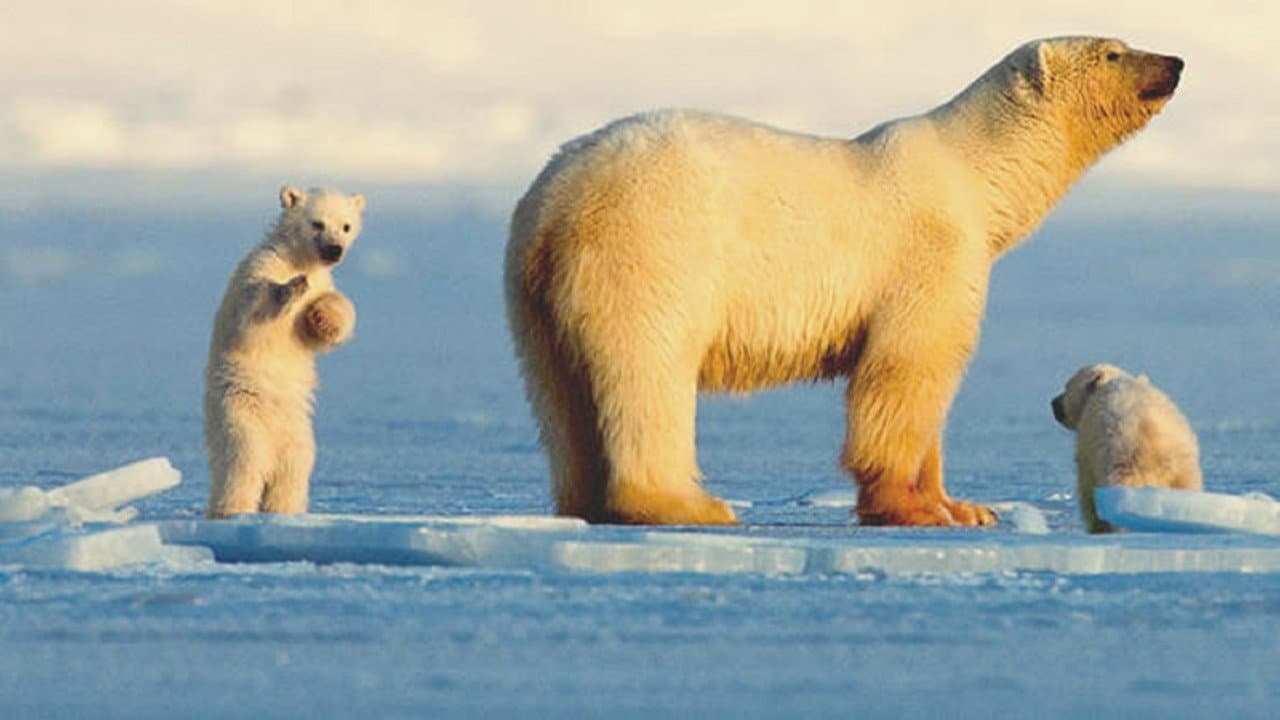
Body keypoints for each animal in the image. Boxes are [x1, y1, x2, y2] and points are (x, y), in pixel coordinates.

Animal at [205, 186, 364, 519]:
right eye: (317, 223)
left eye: (346, 226)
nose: (334, 250)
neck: (298, 259)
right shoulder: (260, 266)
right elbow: (251, 312)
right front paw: (291, 288)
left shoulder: (323, 281)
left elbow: (321, 328)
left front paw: (323, 315)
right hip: (240, 416)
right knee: (242, 465)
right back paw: (231, 511)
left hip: (298, 434)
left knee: (292, 473)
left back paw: (285, 511)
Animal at [505, 36, 1183, 526]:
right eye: (1113, 51)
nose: (1175, 62)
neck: (976, 173)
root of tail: (557, 200)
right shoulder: (929, 253)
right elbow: (906, 371)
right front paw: (913, 509)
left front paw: (967, 507)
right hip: (652, 251)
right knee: (649, 372)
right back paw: (686, 504)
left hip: (532, 292)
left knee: (559, 396)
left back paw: (584, 500)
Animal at [1051, 364, 1202, 533]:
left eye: (1066, 387)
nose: (1053, 403)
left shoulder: (1088, 449)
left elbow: (1088, 493)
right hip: (1183, 471)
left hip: (1123, 463)